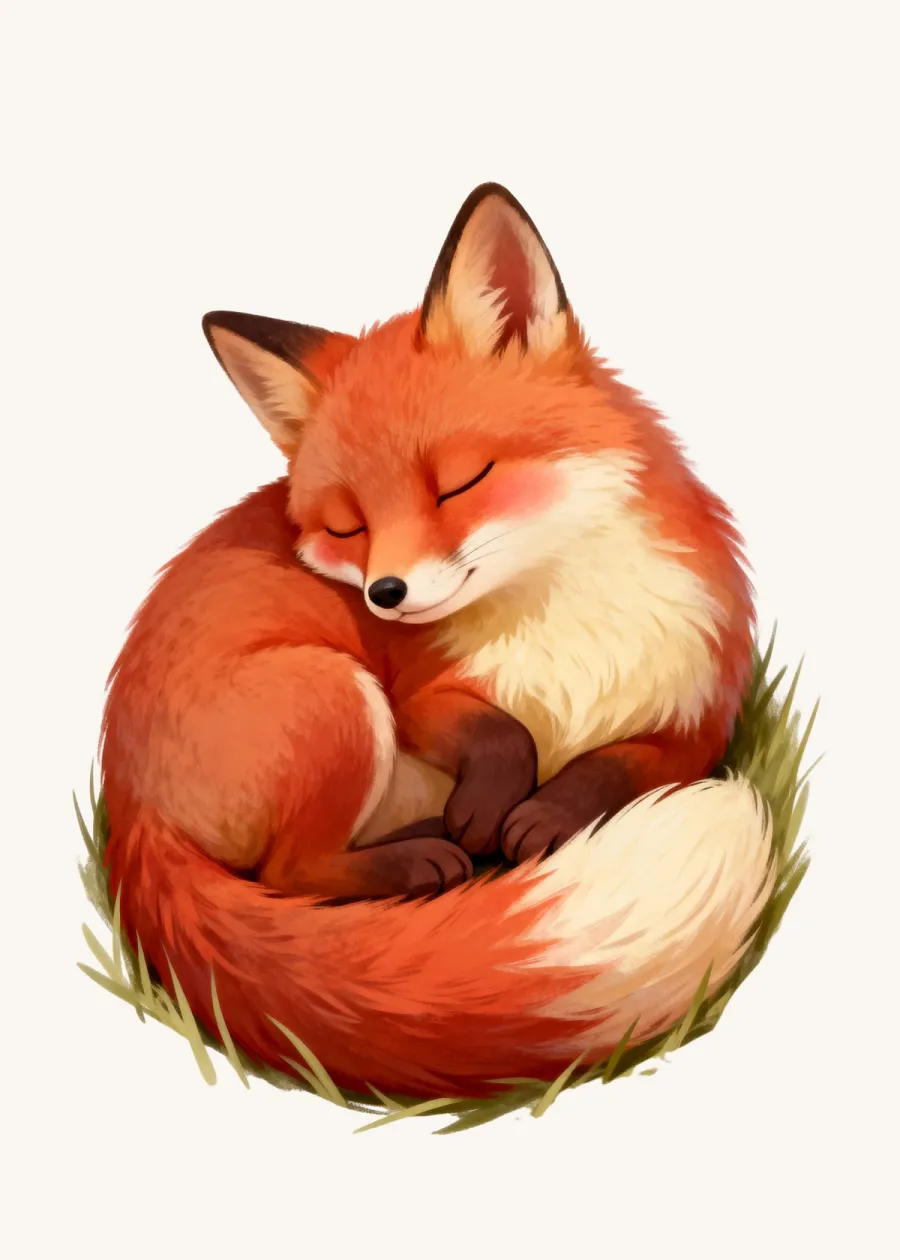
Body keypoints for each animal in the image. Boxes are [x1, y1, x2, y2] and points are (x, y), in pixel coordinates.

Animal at [100, 184, 774, 1099]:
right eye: (347, 526)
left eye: (461, 481)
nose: (384, 595)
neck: (561, 627)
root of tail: (126, 797)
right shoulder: (413, 692)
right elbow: (496, 729)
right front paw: (495, 800)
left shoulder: (694, 721)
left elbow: (615, 766)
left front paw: (549, 816)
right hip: (339, 697)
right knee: (286, 873)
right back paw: (421, 866)